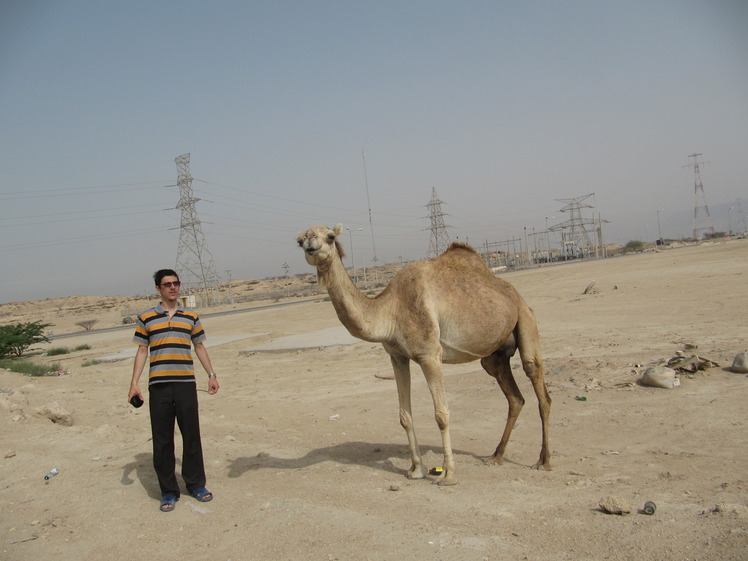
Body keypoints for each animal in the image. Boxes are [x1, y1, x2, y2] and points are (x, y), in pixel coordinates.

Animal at [296, 225, 548, 484]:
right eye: (299, 240)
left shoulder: (430, 354)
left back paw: (543, 461)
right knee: (515, 397)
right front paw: (416, 469)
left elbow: (441, 415)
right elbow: (404, 416)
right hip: (494, 355)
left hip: (525, 319)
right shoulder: (397, 356)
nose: (310, 242)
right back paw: (496, 456)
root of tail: (515, 294)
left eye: (330, 237)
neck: (389, 310)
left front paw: (448, 474)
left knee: (538, 384)